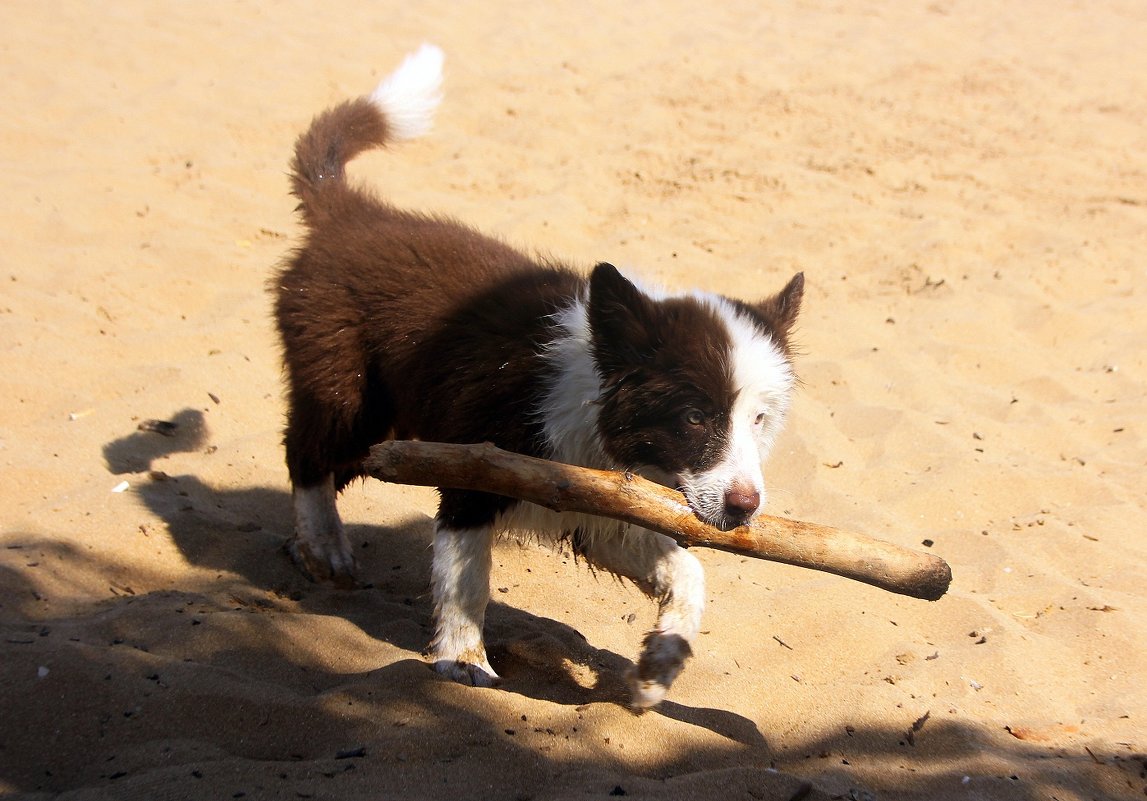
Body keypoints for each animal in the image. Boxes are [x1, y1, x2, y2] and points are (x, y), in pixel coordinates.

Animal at [272, 45, 802, 706]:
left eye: (759, 419)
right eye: (694, 417)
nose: (745, 509)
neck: (594, 396)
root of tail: (352, 215)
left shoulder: (602, 509)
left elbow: (688, 569)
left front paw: (660, 664)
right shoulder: (476, 476)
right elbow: (465, 581)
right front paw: (465, 663)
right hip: (348, 397)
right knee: (306, 454)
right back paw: (323, 545)